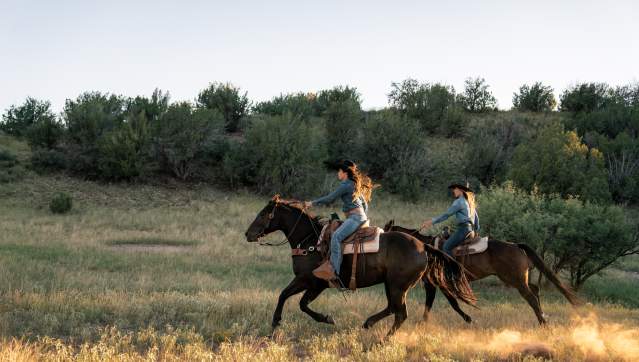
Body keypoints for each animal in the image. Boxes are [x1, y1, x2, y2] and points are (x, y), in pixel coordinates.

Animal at [248, 197, 478, 338]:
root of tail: (424, 246)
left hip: (397, 285)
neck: (311, 241)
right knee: (394, 309)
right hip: (392, 285)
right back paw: (370, 324)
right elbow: (284, 295)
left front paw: (327, 319)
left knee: (400, 313)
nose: (248, 234)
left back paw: (382, 337)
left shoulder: (315, 283)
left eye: (263, 214)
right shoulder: (305, 281)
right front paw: (275, 322)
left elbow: (301, 304)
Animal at [384, 219, 580, 326]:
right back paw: (543, 317)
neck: (425, 248)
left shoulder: (435, 284)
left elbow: (451, 303)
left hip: (515, 280)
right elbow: (434, 303)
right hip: (518, 279)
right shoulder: (434, 285)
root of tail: (516, 246)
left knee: (531, 296)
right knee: (535, 289)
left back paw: (543, 322)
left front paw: (469, 319)